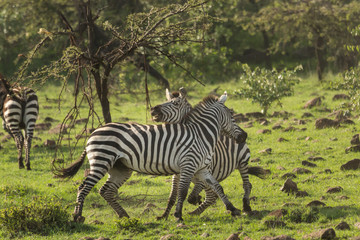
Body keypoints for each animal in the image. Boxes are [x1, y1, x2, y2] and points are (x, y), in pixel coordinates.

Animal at [54, 91, 248, 221]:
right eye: (232, 116)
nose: (244, 137)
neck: (201, 134)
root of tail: (93, 132)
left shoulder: (202, 169)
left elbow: (217, 187)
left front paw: (233, 209)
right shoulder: (187, 166)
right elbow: (182, 191)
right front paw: (178, 216)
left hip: (120, 168)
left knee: (105, 190)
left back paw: (124, 215)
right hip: (102, 161)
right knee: (84, 187)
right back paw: (77, 216)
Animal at [150, 88, 268, 219]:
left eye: (175, 103)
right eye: (166, 100)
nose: (153, 109)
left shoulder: (204, 170)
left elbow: (192, 196)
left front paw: (195, 200)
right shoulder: (177, 174)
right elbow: (172, 196)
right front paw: (164, 215)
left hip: (242, 162)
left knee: (246, 185)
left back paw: (246, 206)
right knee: (212, 195)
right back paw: (195, 212)